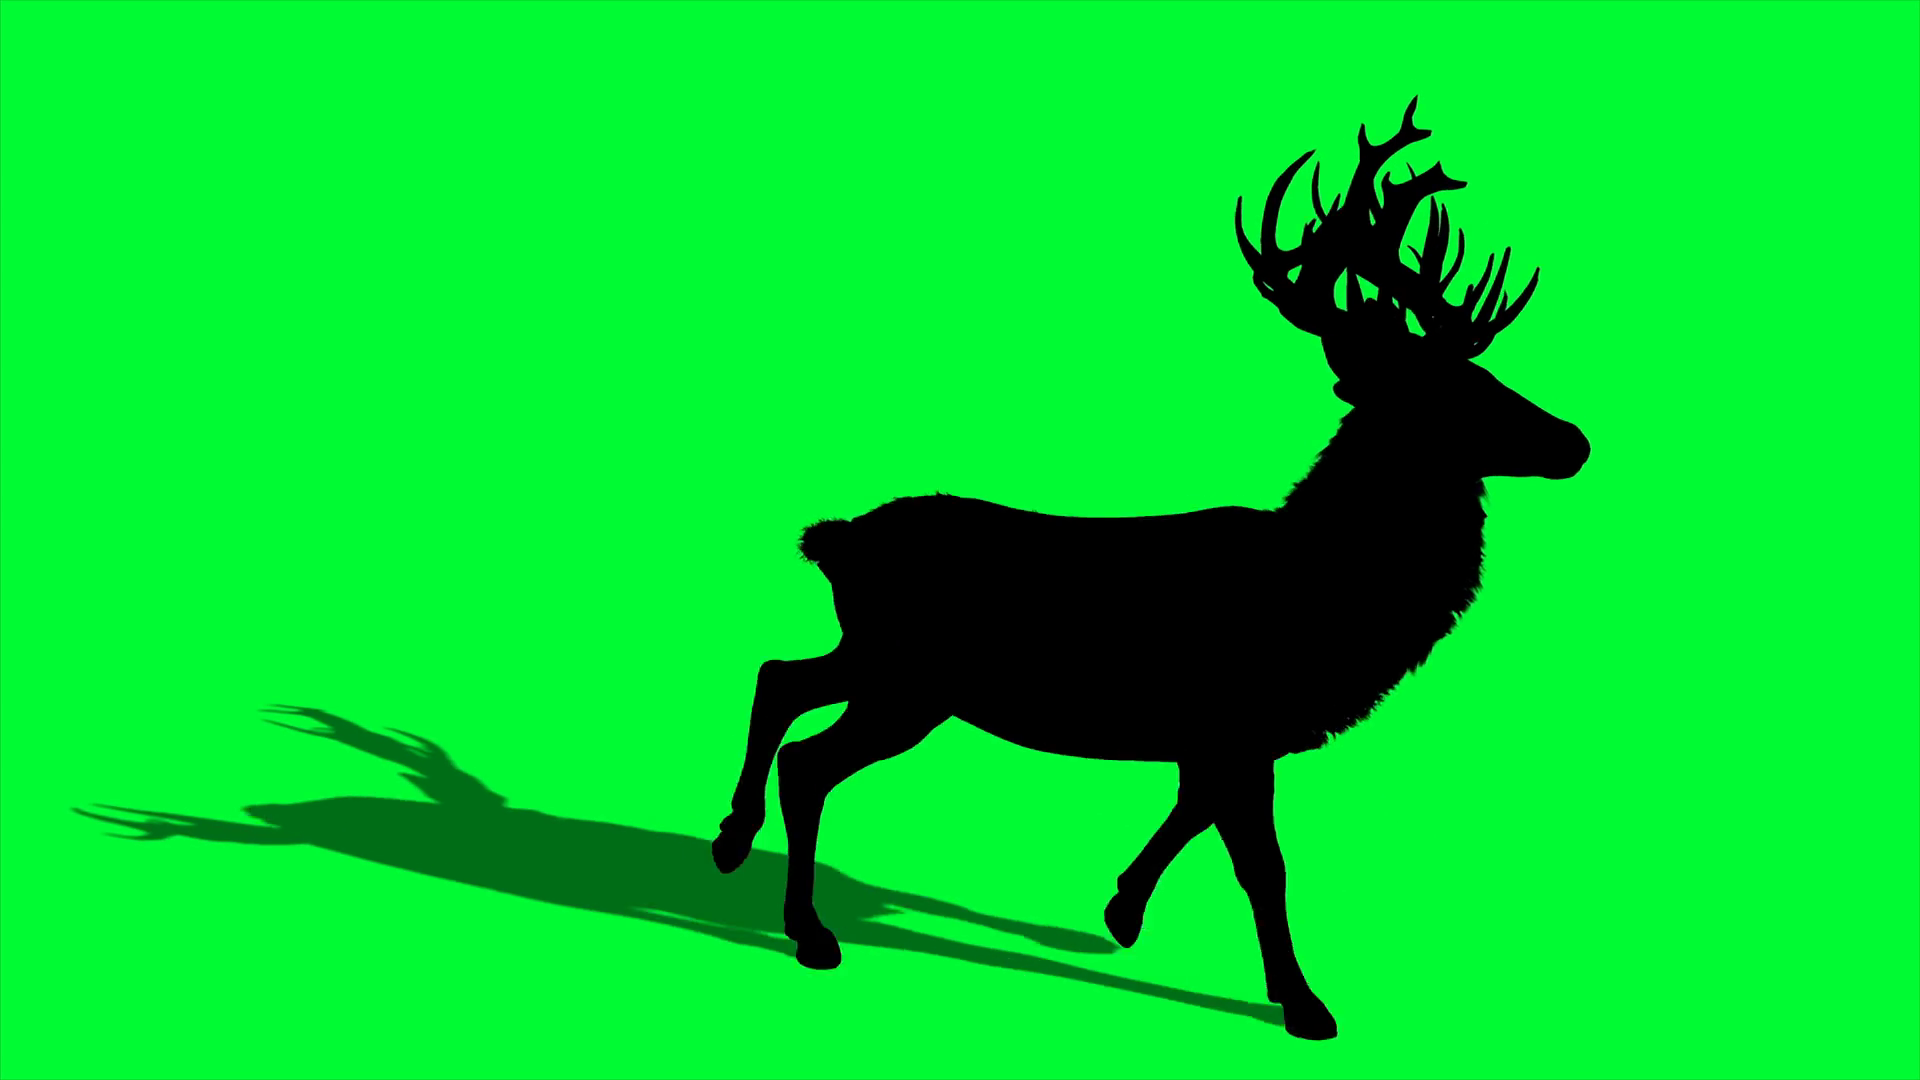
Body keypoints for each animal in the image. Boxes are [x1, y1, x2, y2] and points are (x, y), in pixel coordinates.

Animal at [711, 98, 1590, 1040]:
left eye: (1486, 372)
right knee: (809, 760)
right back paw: (809, 933)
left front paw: (1120, 911)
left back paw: (731, 840)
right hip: (910, 682)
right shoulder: (1241, 720)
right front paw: (1304, 1003)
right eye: (1450, 392)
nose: (1573, 440)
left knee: (780, 675)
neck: (1330, 591)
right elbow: (1263, 863)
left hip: (877, 658)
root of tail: (833, 539)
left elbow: (1191, 811)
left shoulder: (1214, 735)